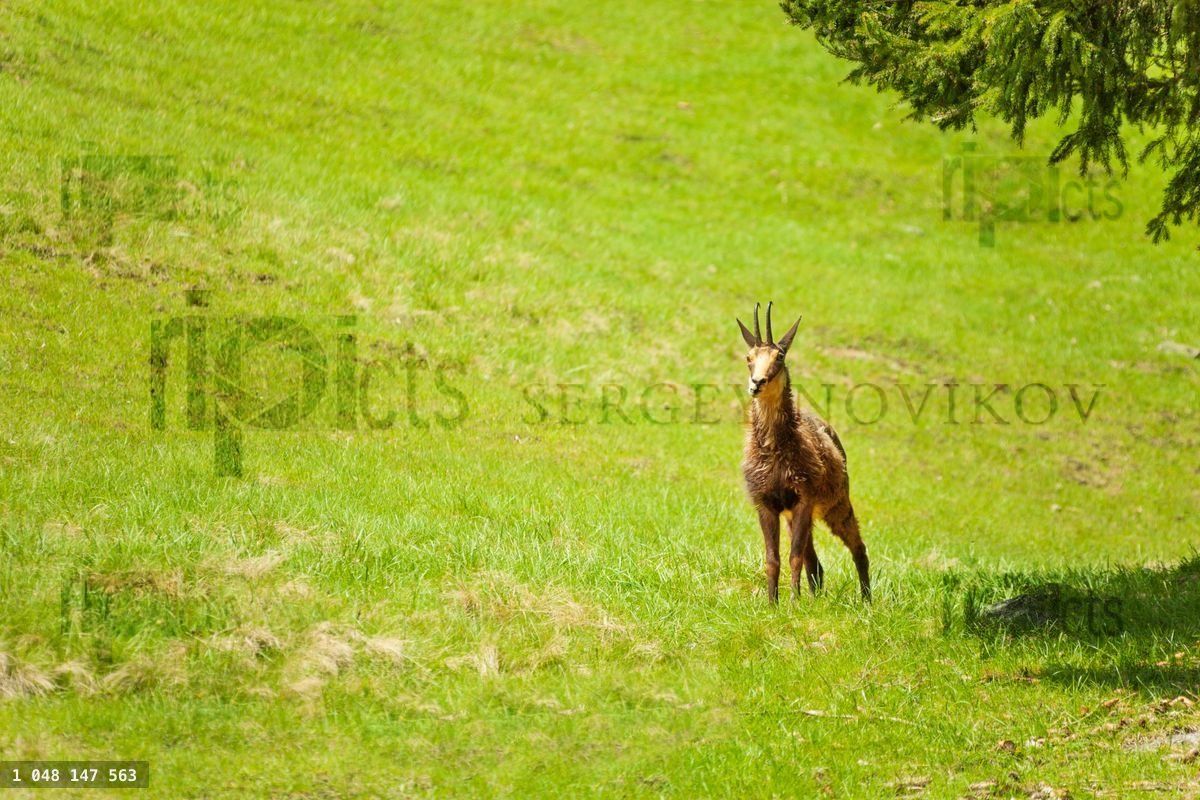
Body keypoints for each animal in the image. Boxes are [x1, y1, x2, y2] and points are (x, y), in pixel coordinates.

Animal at [737, 303, 871, 604]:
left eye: (780, 356)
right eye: (749, 357)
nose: (756, 383)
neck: (775, 449)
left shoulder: (803, 497)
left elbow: (794, 556)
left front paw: (793, 603)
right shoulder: (765, 502)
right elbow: (772, 559)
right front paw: (772, 603)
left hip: (836, 503)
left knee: (859, 548)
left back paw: (867, 601)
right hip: (797, 515)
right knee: (816, 563)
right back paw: (816, 597)